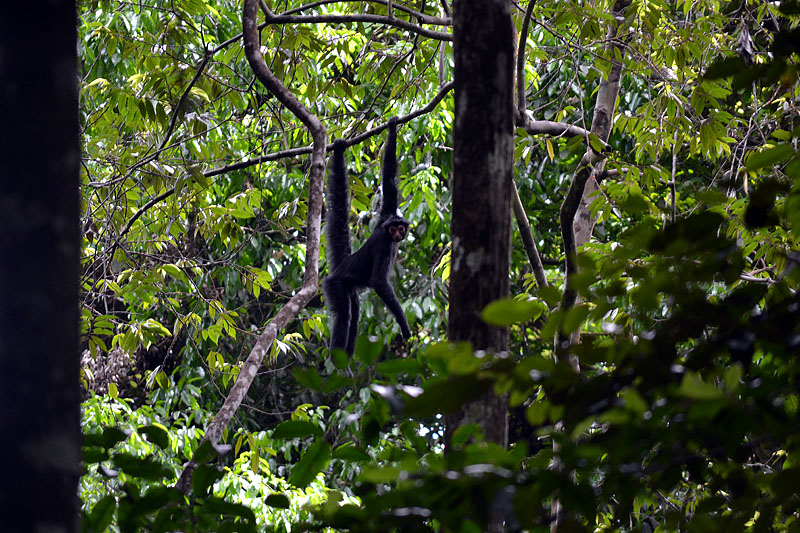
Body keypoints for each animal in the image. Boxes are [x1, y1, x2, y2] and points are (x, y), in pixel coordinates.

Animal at [322, 118, 412, 356]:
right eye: (393, 230)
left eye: (401, 228)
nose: (397, 233)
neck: (386, 230)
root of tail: (342, 265)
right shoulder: (385, 244)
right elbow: (378, 281)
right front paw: (403, 324)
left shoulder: (386, 214)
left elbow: (388, 180)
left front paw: (392, 127)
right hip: (333, 284)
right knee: (344, 315)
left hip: (348, 287)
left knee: (354, 313)